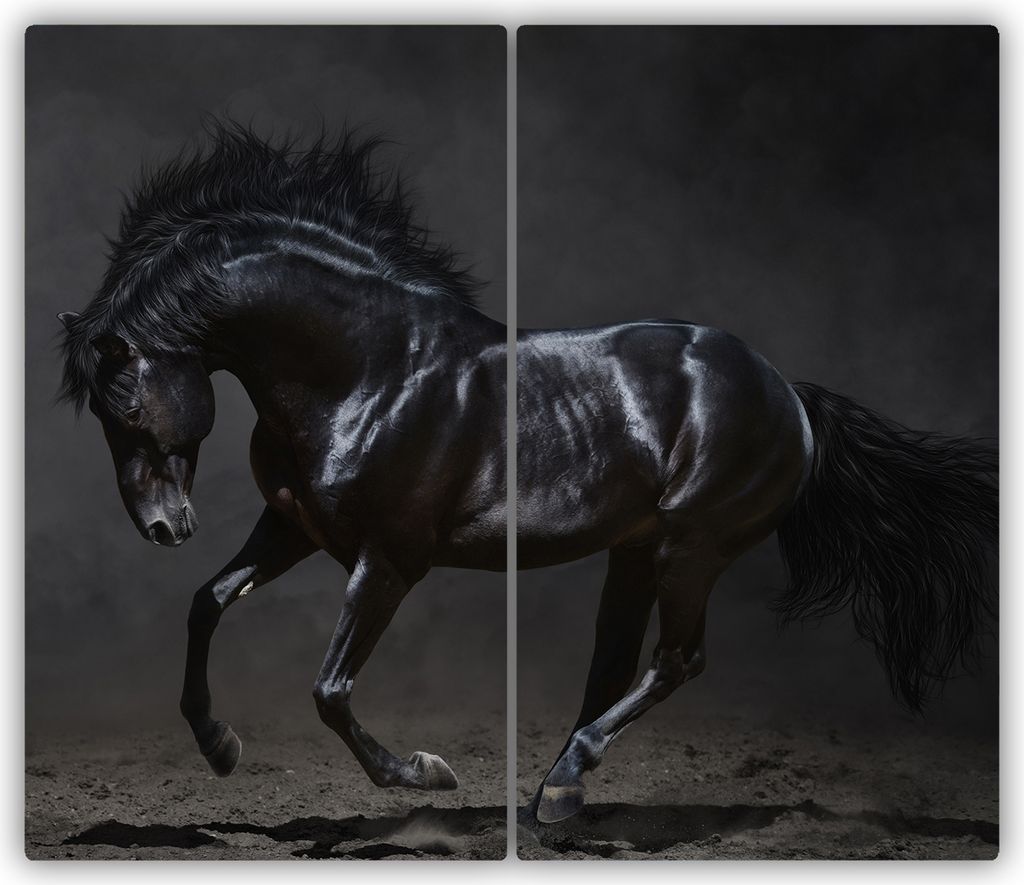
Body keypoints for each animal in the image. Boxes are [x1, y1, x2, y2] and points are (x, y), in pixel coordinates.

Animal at [58, 123, 507, 792]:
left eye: (129, 409)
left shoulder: (389, 558)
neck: (378, 373)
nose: (157, 526)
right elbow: (209, 602)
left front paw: (419, 772)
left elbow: (331, 691)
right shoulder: (297, 525)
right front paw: (217, 743)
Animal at [516, 322, 996, 824]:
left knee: (672, 661)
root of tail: (789, 394)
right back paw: (546, 798)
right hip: (650, 552)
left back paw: (562, 782)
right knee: (620, 661)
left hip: (686, 548)